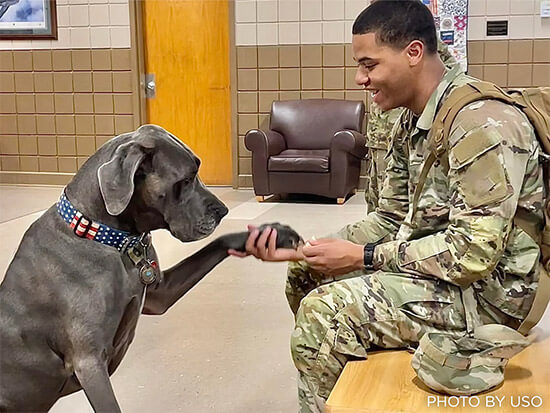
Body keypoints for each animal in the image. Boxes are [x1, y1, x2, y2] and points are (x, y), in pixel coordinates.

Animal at [0, 124, 302, 412]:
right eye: (186, 179)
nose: (223, 211)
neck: (107, 236)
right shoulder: (89, 363)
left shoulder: (160, 293)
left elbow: (219, 243)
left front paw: (273, 233)